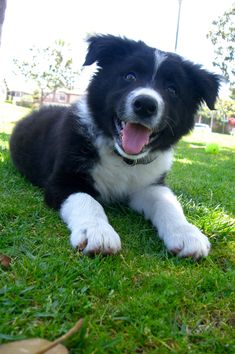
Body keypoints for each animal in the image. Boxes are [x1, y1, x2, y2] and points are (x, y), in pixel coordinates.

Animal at [9, 34, 220, 258]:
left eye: (172, 89)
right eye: (129, 76)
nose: (145, 105)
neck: (122, 159)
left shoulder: (150, 184)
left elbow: (168, 202)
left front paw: (187, 233)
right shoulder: (62, 181)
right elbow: (87, 200)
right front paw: (98, 232)